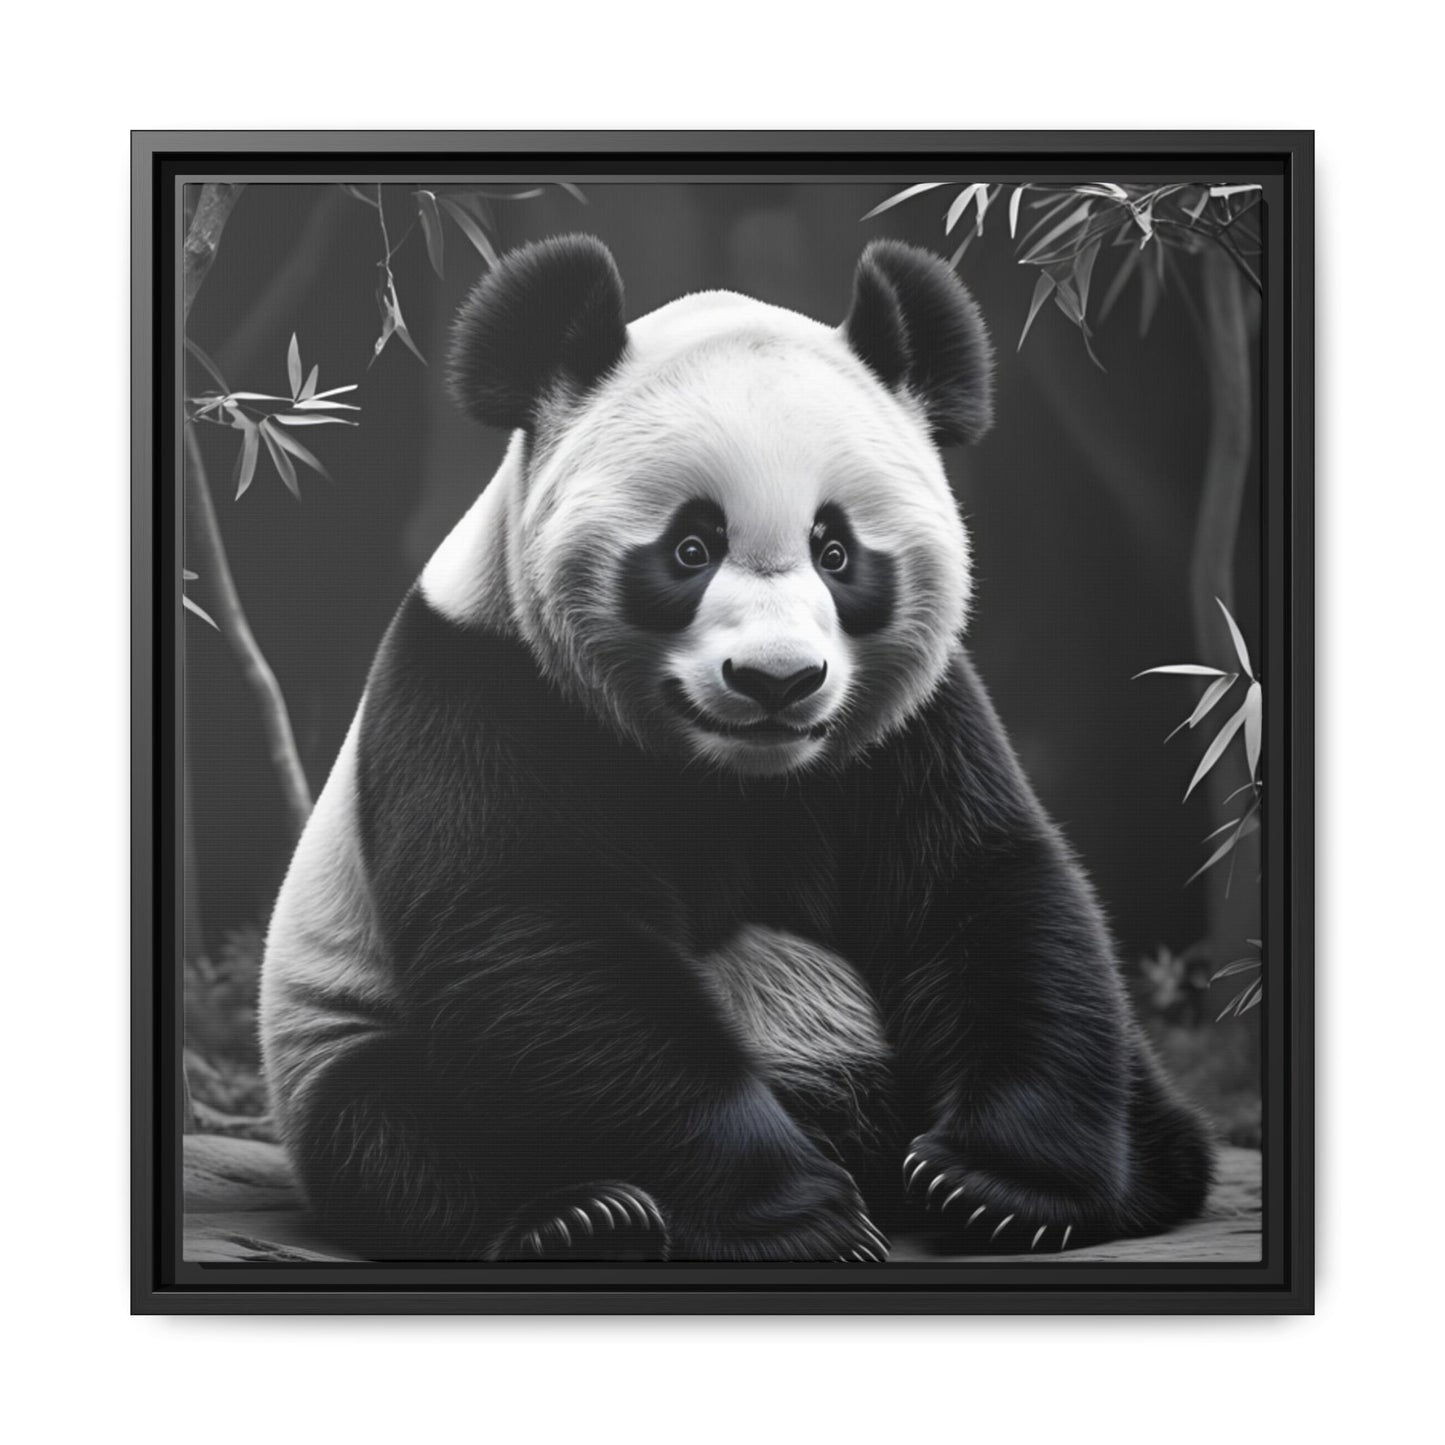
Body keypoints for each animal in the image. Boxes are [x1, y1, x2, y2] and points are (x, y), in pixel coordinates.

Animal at [259, 234, 1214, 1262]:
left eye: (836, 550)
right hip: (336, 1033)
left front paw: (995, 1186)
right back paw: (582, 1217)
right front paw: (800, 1215)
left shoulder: (911, 726)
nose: (776, 680)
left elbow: (983, 888)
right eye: (690, 547)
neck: (733, 777)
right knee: (398, 1131)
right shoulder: (485, 690)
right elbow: (541, 939)